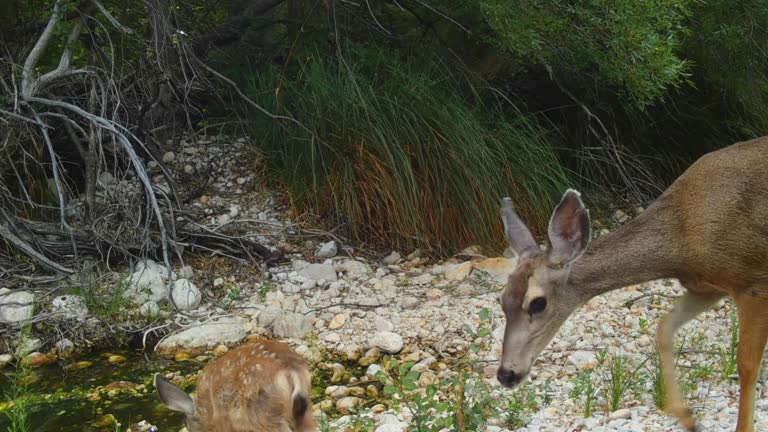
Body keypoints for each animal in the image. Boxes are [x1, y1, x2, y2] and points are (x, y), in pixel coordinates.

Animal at [496, 138, 768, 432]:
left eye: (538, 303)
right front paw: (686, 417)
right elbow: (663, 329)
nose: (506, 374)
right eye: (502, 300)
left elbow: (746, 365)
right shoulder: (706, 288)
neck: (682, 240)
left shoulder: (753, 282)